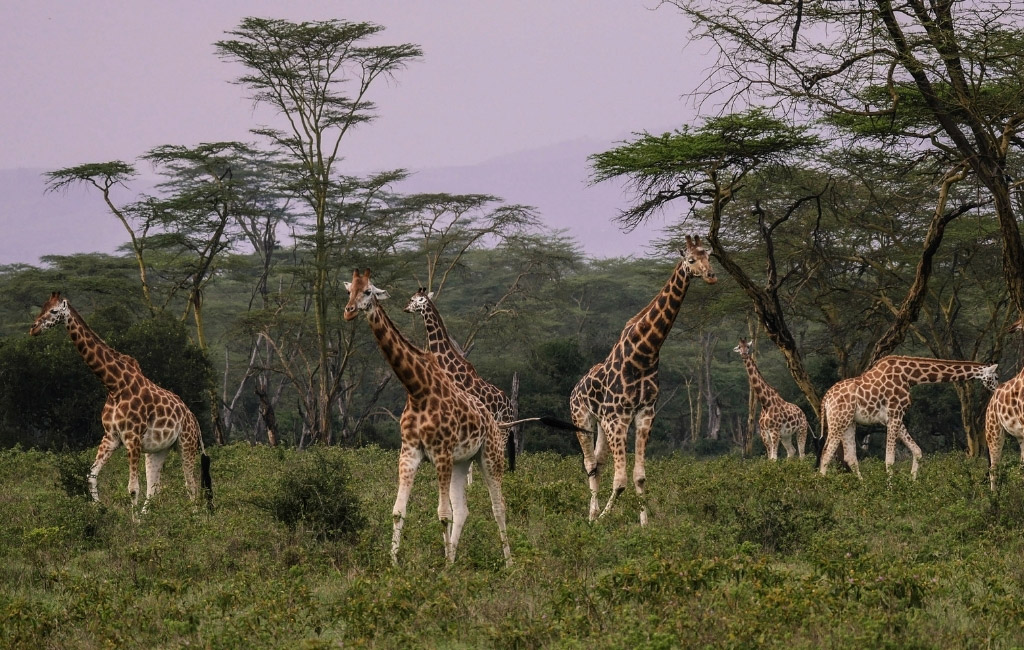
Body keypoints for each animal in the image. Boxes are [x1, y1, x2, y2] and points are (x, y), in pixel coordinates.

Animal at [29, 292, 212, 512]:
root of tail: (193, 419)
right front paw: (100, 510)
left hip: (186, 444)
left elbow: (133, 488)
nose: (33, 328)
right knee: (154, 488)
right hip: (158, 450)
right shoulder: (111, 437)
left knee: (191, 486)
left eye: (54, 311)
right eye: (42, 307)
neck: (114, 386)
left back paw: (193, 517)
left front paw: (131, 521)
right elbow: (91, 476)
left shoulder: (132, 438)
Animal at [569, 235, 717, 525]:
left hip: (602, 423)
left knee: (598, 464)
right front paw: (603, 520)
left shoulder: (644, 414)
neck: (645, 354)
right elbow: (621, 480)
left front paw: (645, 525)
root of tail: (575, 388)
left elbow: (639, 477)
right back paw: (591, 517)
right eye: (691, 259)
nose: (711, 275)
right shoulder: (618, 418)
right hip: (582, 419)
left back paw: (593, 513)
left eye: (709, 255)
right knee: (590, 465)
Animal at [818, 355, 998, 479]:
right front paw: (890, 490)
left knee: (849, 457)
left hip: (849, 422)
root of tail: (825, 399)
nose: (997, 388)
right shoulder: (894, 414)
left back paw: (862, 486)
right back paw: (821, 488)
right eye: (996, 376)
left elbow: (917, 451)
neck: (910, 377)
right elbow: (890, 459)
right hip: (838, 421)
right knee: (826, 453)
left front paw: (912, 482)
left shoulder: (895, 417)